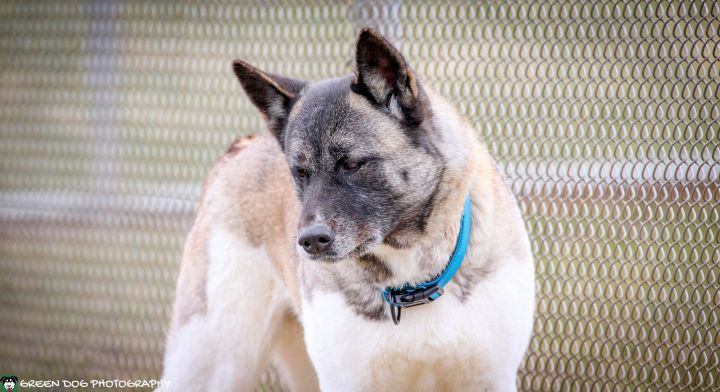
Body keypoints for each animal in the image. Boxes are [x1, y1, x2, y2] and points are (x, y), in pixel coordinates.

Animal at [159, 28, 536, 392]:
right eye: (300, 173)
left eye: (353, 164)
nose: (310, 241)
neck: (410, 282)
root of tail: (240, 148)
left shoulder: (490, 377)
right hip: (211, 360)